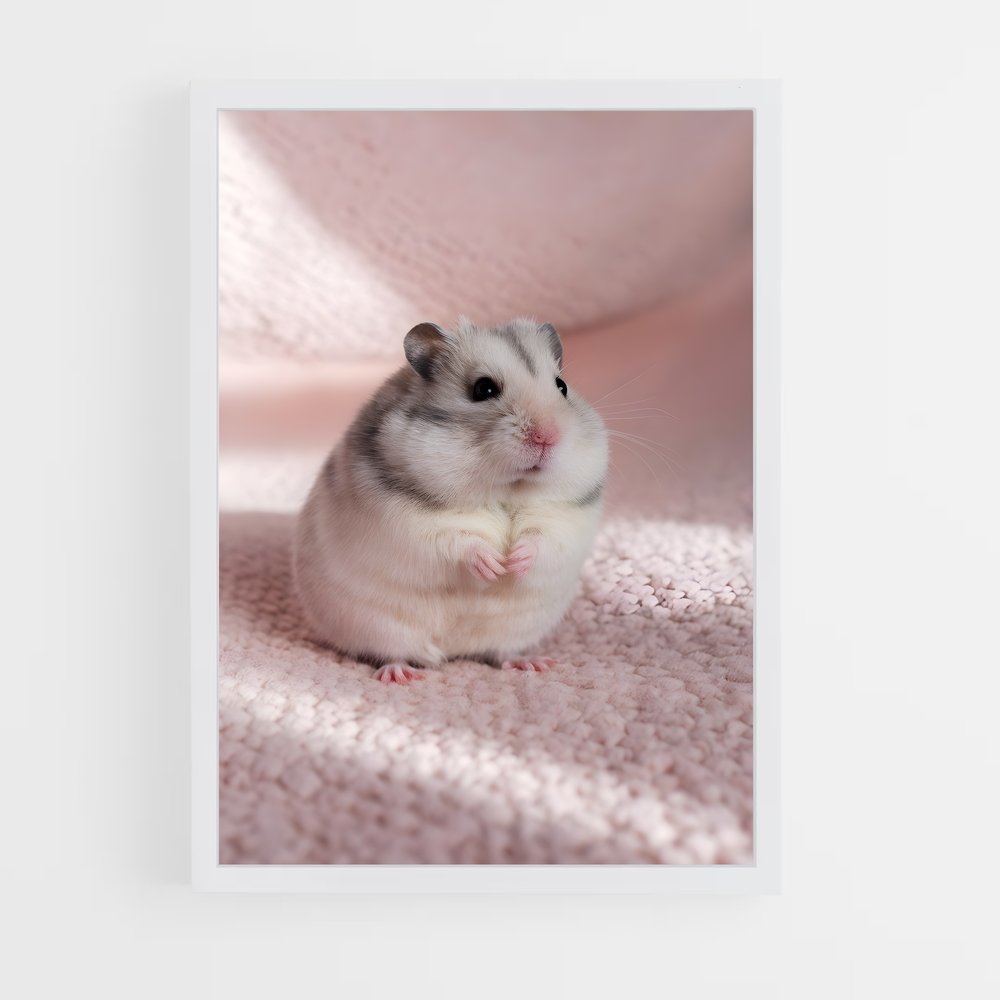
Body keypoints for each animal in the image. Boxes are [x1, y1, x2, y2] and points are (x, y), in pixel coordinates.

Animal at [292, 316, 609, 684]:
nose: (548, 437)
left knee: (502, 652)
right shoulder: (409, 525)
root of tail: (455, 651)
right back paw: (401, 676)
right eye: (483, 389)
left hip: (517, 630)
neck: (504, 490)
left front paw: (512, 562)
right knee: (392, 653)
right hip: (377, 626)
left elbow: (542, 540)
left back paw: (533, 663)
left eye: (562, 386)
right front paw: (494, 565)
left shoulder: (566, 519)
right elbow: (458, 541)